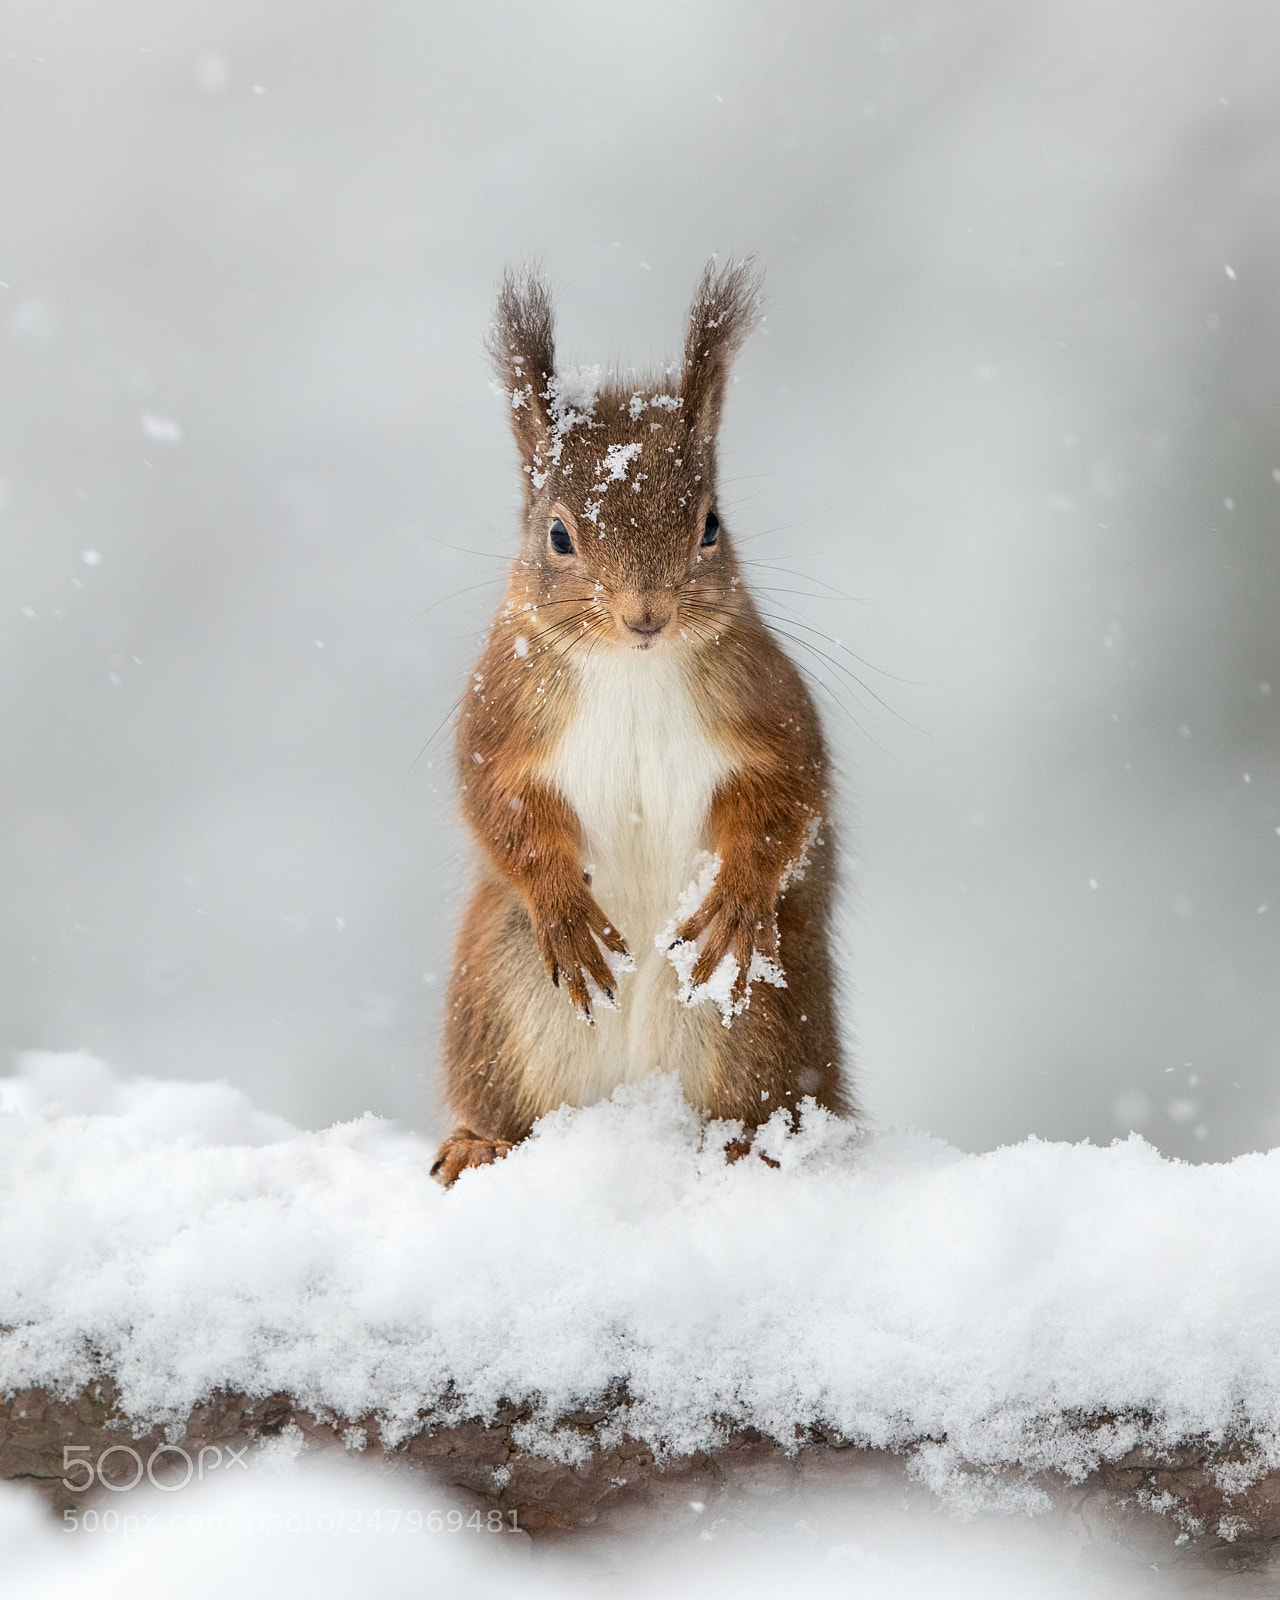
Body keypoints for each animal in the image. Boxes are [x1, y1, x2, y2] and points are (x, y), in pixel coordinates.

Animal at [431, 260, 850, 1185]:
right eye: (557, 535)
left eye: (711, 525)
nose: (644, 614)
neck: (631, 670)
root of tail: (631, 1104)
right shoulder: (502, 718)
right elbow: (497, 805)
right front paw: (562, 903)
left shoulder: (766, 706)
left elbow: (788, 790)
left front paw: (738, 892)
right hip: (500, 991)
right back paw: (479, 1141)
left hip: (761, 1015)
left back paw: (743, 1145)